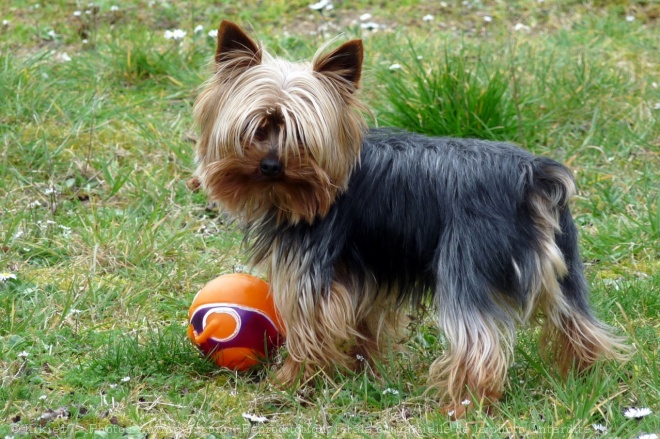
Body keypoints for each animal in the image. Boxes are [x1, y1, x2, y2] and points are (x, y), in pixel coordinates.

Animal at [192, 18, 628, 414]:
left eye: (300, 138)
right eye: (257, 128)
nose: (270, 167)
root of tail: (533, 175)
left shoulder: (309, 272)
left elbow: (309, 330)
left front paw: (292, 382)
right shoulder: (365, 271)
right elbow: (365, 323)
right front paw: (362, 371)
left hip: (465, 266)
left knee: (479, 344)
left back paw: (463, 406)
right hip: (564, 267)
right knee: (578, 324)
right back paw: (586, 379)